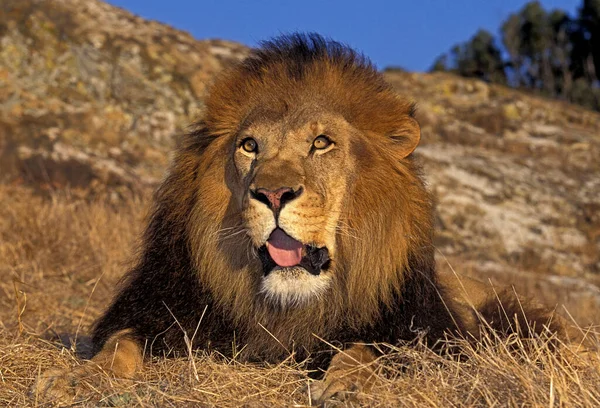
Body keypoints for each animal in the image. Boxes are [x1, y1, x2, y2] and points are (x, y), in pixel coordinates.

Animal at [34, 32, 596, 404]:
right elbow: (120, 344)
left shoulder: (429, 333)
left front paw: (346, 384)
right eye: (249, 146)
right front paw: (77, 379)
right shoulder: (158, 314)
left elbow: (374, 349)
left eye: (321, 143)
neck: (289, 311)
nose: (273, 193)